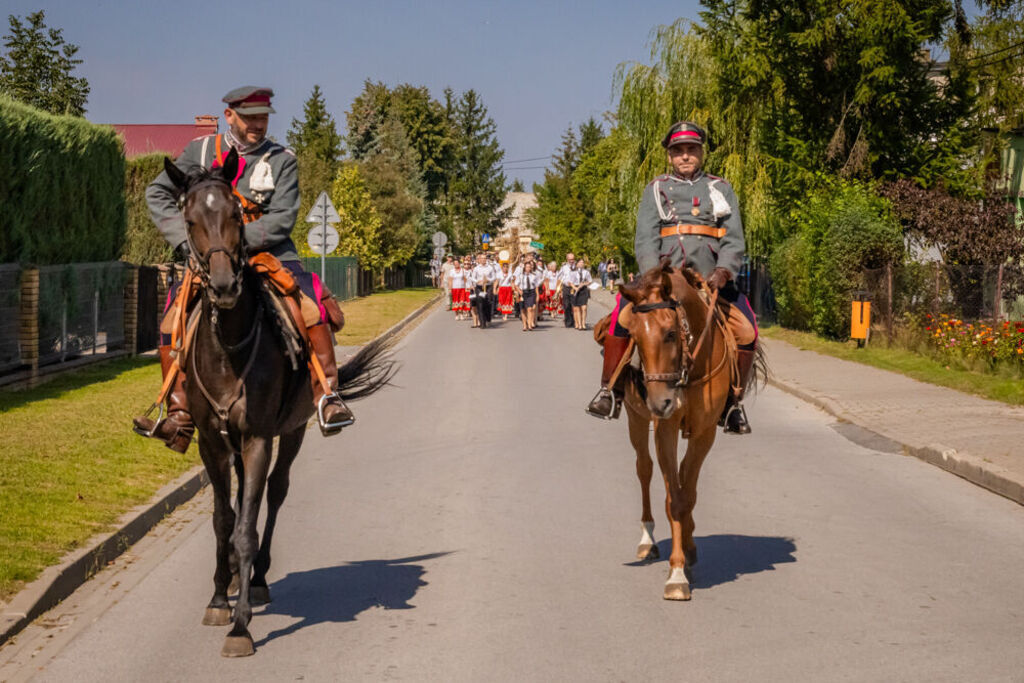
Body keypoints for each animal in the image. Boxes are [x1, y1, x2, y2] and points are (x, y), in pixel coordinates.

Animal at [162, 150, 395, 655]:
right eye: (189, 220)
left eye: (236, 217)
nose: (224, 286)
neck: (228, 347)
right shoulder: (212, 441)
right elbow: (223, 519)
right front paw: (218, 597)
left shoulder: (257, 438)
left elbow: (248, 526)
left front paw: (240, 625)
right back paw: (234, 576)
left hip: (291, 432)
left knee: (275, 491)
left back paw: (258, 578)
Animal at [598, 259, 761, 602]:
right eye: (634, 336)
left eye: (671, 333)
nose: (661, 402)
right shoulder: (666, 430)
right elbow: (674, 498)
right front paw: (677, 573)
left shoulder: (704, 432)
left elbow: (688, 492)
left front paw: (688, 551)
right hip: (636, 418)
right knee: (645, 470)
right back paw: (648, 540)